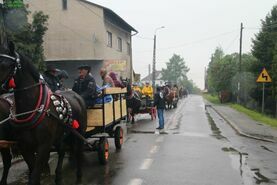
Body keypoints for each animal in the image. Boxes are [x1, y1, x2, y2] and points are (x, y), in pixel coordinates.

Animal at [0, 43, 87, 185]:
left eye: (5, 64)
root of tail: (76, 95)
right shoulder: (25, 147)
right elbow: (33, 173)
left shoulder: (44, 146)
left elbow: (35, 174)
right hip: (60, 134)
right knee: (62, 150)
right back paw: (58, 175)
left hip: (80, 131)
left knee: (78, 150)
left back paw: (79, 175)